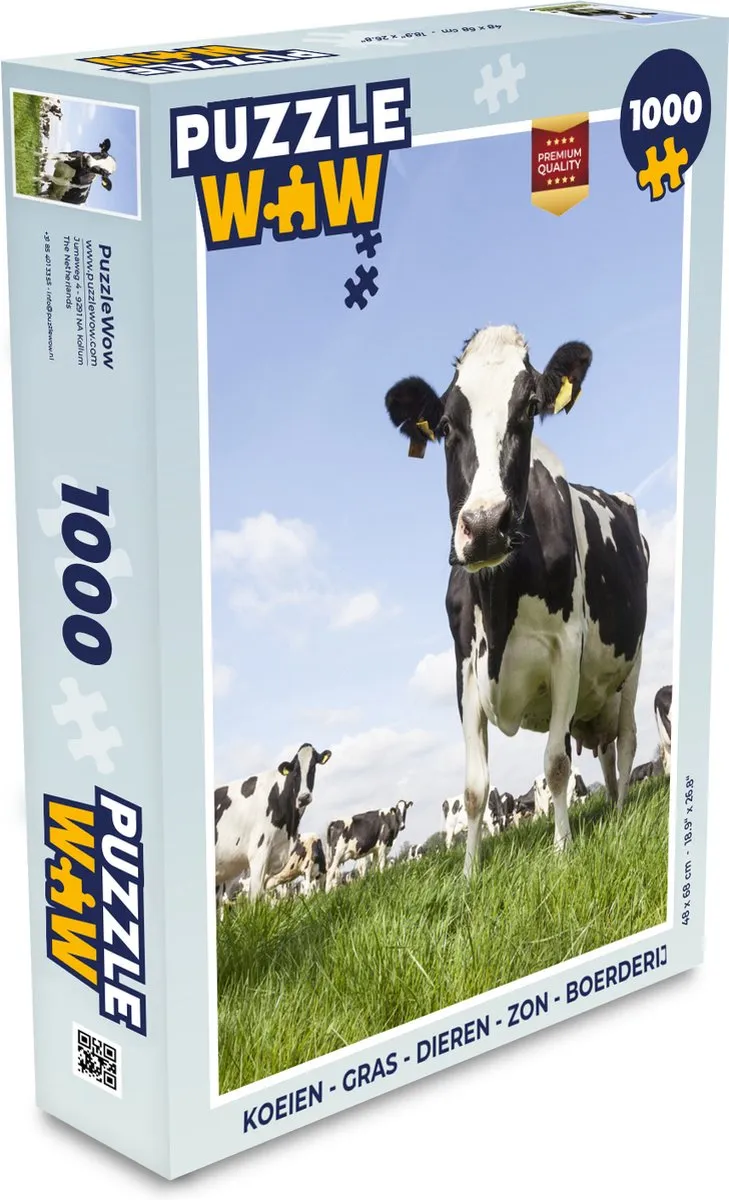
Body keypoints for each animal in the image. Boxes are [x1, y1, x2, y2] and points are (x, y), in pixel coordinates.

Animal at [386, 324, 648, 876]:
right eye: (446, 424)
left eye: (528, 408)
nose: (485, 525)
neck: (499, 601)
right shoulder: (465, 665)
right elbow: (473, 787)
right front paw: (468, 873)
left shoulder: (567, 647)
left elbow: (556, 763)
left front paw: (563, 850)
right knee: (606, 750)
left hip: (632, 663)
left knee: (626, 739)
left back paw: (619, 811)